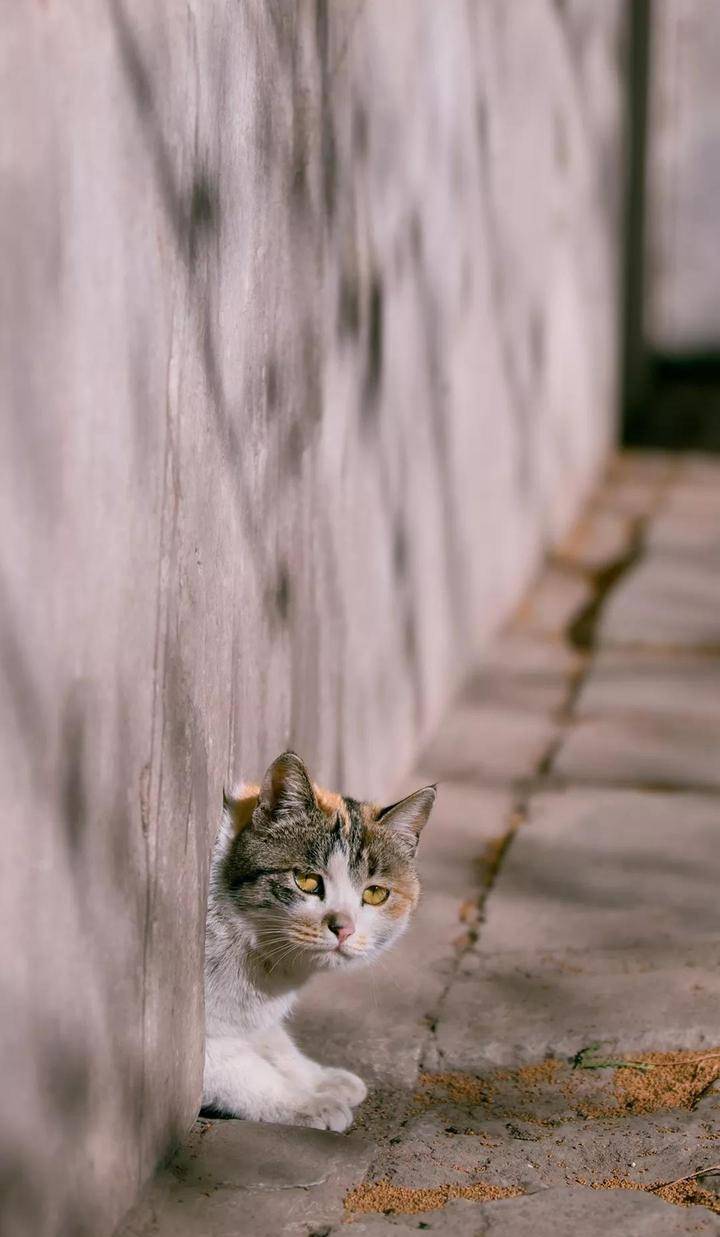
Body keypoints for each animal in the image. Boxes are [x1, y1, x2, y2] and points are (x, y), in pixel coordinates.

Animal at [204, 747, 440, 1133]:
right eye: (306, 880)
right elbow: (241, 1069)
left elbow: (274, 1041)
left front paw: (320, 1079)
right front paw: (307, 1103)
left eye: (375, 893)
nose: (343, 927)